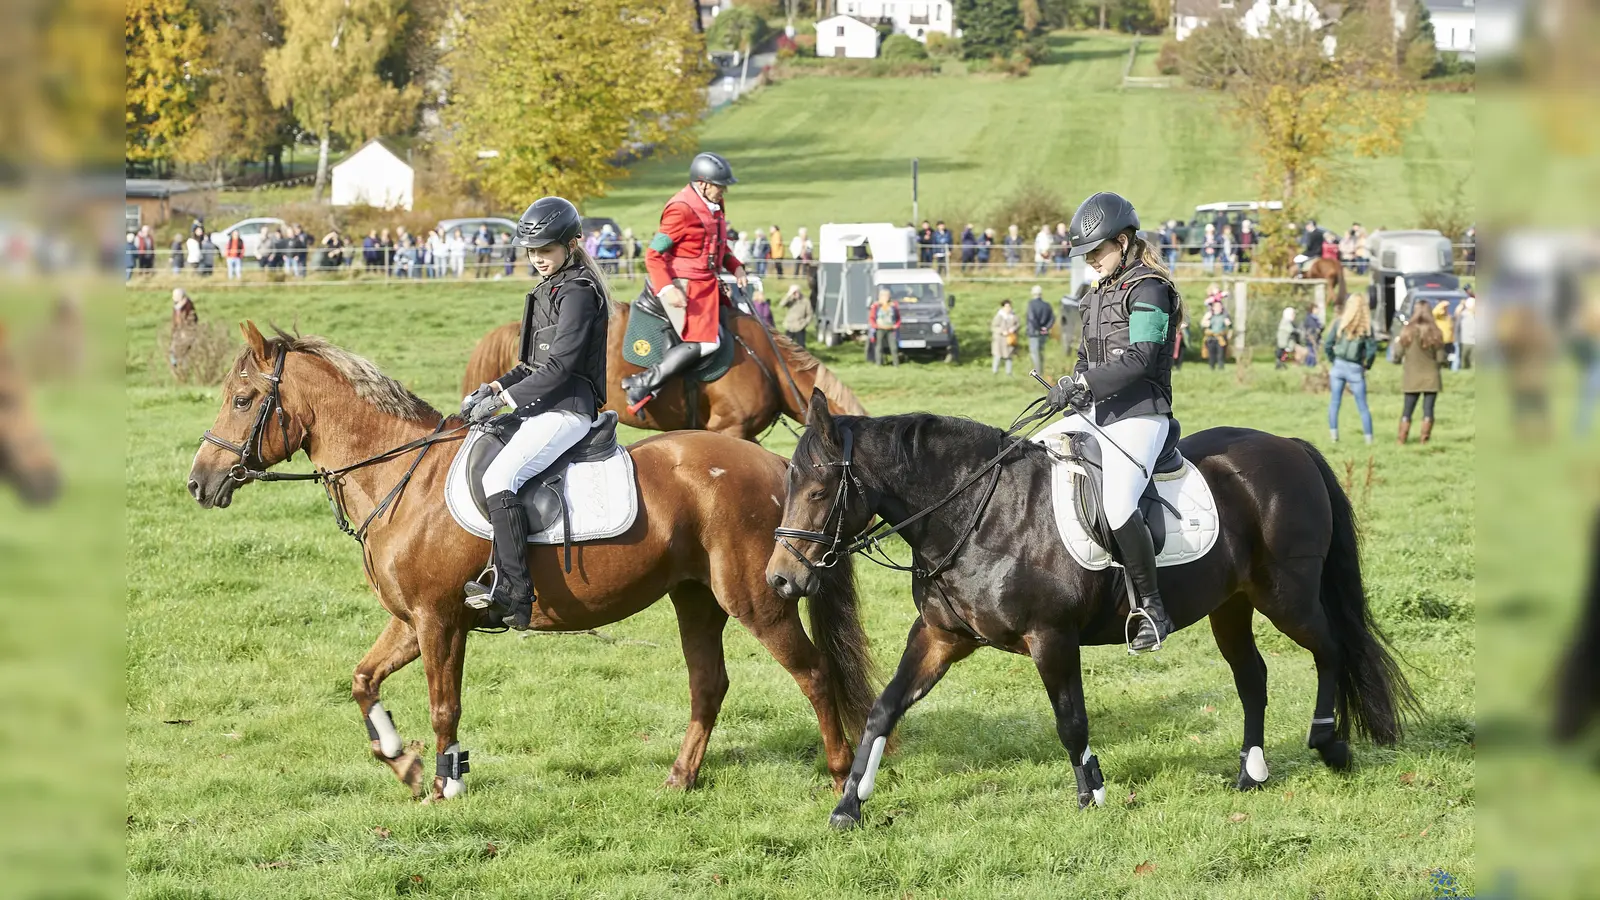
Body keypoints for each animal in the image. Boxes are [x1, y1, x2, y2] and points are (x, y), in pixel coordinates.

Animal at [195, 321, 889, 797]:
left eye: (242, 399)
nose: (199, 484)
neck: (402, 477)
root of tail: (775, 466)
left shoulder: (439, 621)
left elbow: (445, 705)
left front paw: (446, 784)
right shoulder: (411, 620)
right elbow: (363, 681)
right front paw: (405, 763)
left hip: (758, 597)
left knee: (814, 674)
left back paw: (836, 778)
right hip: (695, 596)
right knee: (708, 684)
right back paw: (678, 779)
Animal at [771, 392, 1414, 826]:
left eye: (820, 491)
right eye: (789, 483)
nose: (781, 579)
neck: (978, 512)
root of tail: (1290, 448)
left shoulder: (1051, 638)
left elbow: (1070, 719)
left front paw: (1093, 794)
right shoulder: (939, 637)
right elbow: (884, 710)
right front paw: (849, 806)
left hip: (1287, 595)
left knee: (1331, 649)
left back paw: (1330, 745)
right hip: (1231, 604)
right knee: (1252, 675)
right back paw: (1250, 772)